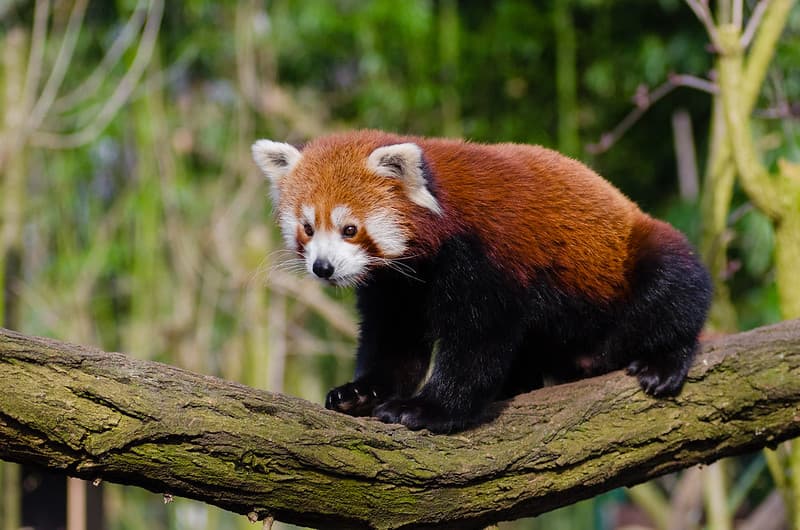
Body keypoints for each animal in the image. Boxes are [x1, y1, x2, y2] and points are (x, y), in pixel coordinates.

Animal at [252, 130, 712, 432]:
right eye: (308, 228)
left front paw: (428, 409)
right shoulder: (398, 286)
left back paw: (663, 360)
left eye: (349, 229)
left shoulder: (487, 258)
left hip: (634, 256)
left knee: (675, 286)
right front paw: (361, 393)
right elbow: (394, 342)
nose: (323, 268)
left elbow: (478, 340)